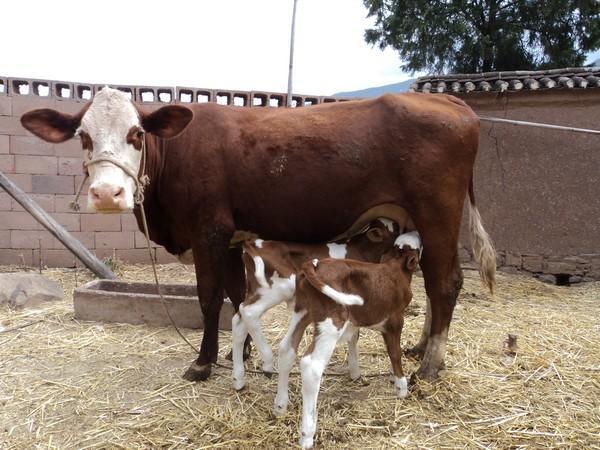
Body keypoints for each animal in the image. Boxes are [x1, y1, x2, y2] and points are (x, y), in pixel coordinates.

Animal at [232, 218, 400, 390]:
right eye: (396, 229)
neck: (360, 250)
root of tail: (256, 243)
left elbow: (354, 334)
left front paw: (354, 372)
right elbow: (355, 335)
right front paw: (355, 372)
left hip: (256, 289)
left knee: (238, 320)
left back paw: (239, 379)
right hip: (279, 288)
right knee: (248, 312)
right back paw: (267, 362)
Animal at [276, 232, 422, 450]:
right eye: (417, 247)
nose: (417, 232)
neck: (394, 268)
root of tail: (314, 264)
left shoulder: (355, 321)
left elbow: (354, 338)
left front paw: (355, 373)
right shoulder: (396, 319)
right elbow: (395, 353)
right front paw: (401, 387)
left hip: (302, 311)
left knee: (286, 349)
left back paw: (279, 405)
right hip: (331, 320)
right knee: (311, 365)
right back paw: (307, 434)